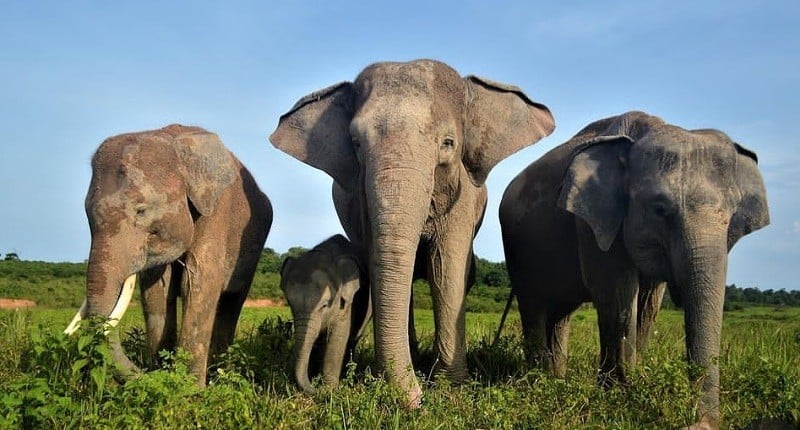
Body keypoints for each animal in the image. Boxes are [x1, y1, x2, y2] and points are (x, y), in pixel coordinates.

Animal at [66, 124, 272, 386]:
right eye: (87, 215)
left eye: (141, 211)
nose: (144, 373)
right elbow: (157, 288)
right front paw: (164, 375)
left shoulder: (216, 210)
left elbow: (197, 282)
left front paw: (191, 390)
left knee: (232, 301)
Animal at [280, 233, 370, 394]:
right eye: (290, 304)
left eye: (324, 305)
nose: (315, 387)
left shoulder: (348, 303)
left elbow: (337, 338)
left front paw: (328, 390)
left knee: (352, 340)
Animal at [500, 111, 768, 430]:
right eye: (659, 209)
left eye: (731, 216)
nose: (698, 423)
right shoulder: (593, 222)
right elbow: (616, 295)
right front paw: (616, 400)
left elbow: (649, 304)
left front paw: (628, 391)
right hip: (520, 255)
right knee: (535, 309)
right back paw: (538, 383)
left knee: (561, 315)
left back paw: (556, 380)